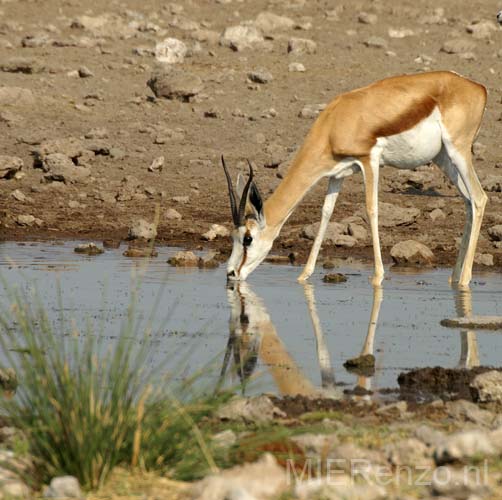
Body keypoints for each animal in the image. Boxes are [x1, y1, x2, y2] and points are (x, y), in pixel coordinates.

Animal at [222, 72, 488, 288]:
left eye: (247, 238)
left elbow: (371, 210)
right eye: (232, 237)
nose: (231, 273)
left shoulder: (369, 160)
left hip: (458, 151)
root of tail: (478, 87)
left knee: (479, 198)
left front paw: (378, 277)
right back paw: (453, 278)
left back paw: (464, 280)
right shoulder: (336, 174)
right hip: (443, 158)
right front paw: (304, 276)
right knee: (468, 202)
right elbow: (326, 213)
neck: (334, 124)